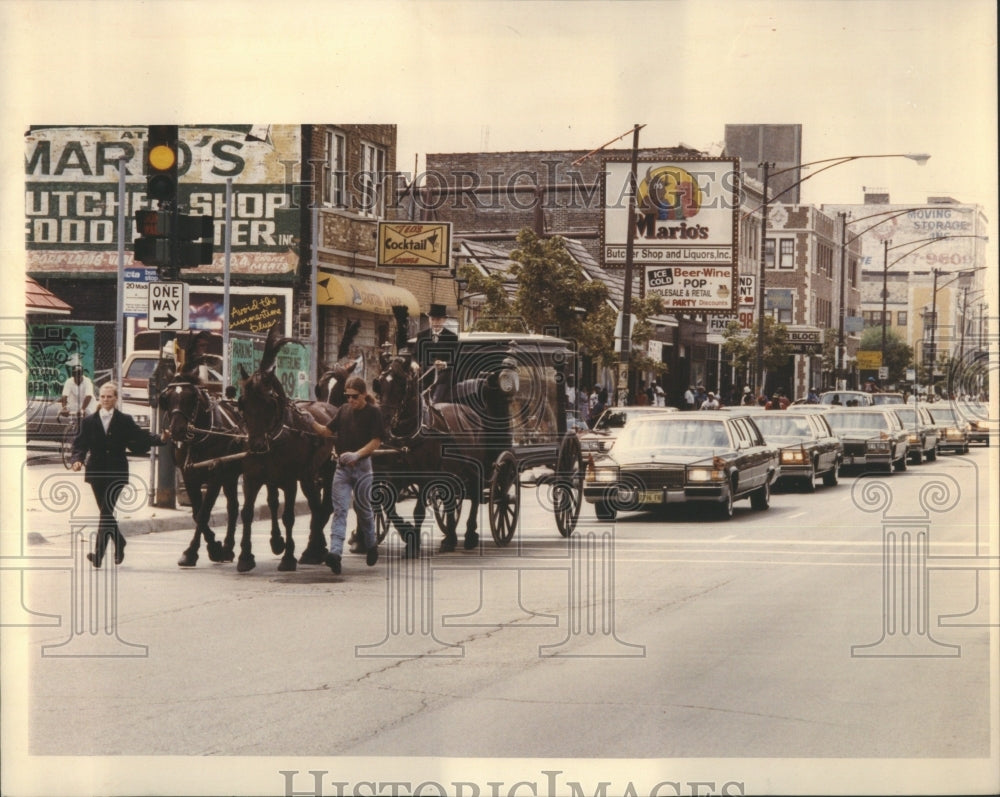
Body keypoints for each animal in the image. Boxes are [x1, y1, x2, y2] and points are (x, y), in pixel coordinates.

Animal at [236, 324, 338, 572]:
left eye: (269, 403)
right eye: (242, 403)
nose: (256, 445)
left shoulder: (290, 480)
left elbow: (289, 516)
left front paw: (288, 557)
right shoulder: (253, 478)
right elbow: (248, 512)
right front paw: (246, 556)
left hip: (327, 470)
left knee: (324, 507)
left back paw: (313, 549)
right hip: (308, 476)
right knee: (313, 506)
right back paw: (312, 549)